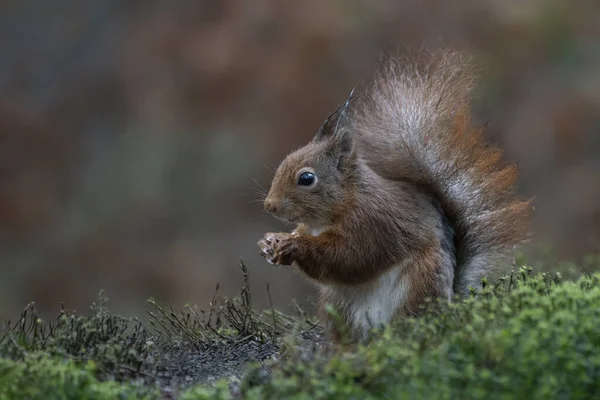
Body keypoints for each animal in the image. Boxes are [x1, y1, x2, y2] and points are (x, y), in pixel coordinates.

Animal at [255, 48, 532, 342]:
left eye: (306, 178)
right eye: (284, 161)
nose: (269, 205)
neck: (342, 204)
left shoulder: (372, 224)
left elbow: (348, 257)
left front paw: (292, 244)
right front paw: (271, 244)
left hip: (418, 286)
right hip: (338, 305)